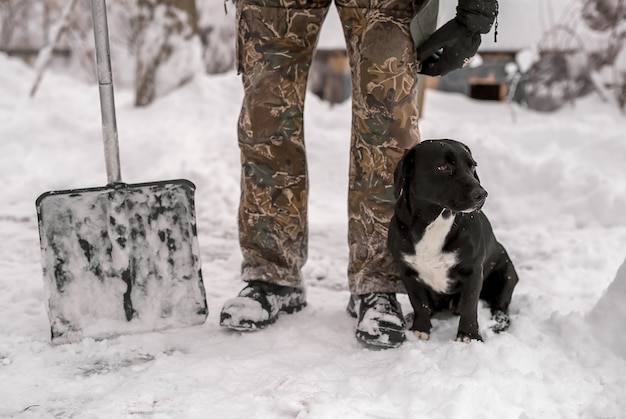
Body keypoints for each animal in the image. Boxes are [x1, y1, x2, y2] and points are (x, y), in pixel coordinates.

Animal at [386, 139, 516, 342]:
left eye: (473, 166)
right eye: (442, 167)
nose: (482, 193)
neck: (436, 220)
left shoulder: (473, 271)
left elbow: (470, 305)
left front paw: (468, 335)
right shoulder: (407, 271)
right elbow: (419, 303)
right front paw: (421, 328)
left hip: (506, 274)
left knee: (500, 308)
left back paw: (497, 323)